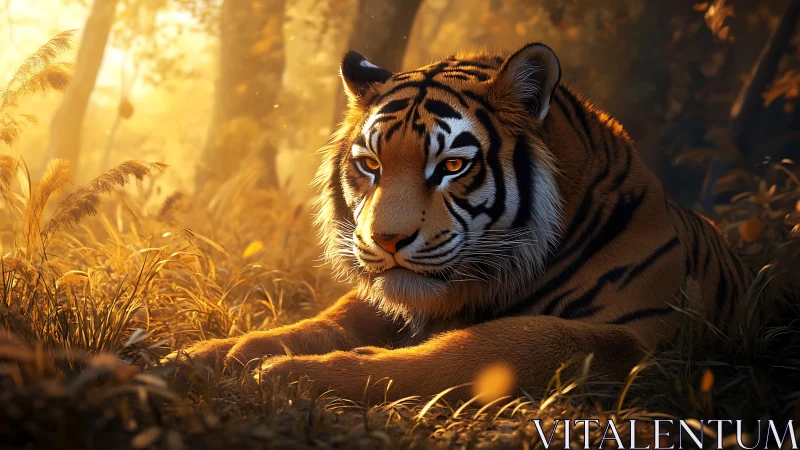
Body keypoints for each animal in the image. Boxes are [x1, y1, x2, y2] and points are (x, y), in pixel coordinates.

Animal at [172, 43, 753, 402]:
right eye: (371, 164)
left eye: (451, 166)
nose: (386, 239)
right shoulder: (383, 301)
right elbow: (320, 321)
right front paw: (206, 356)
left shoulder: (631, 338)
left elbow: (479, 349)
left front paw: (291, 375)